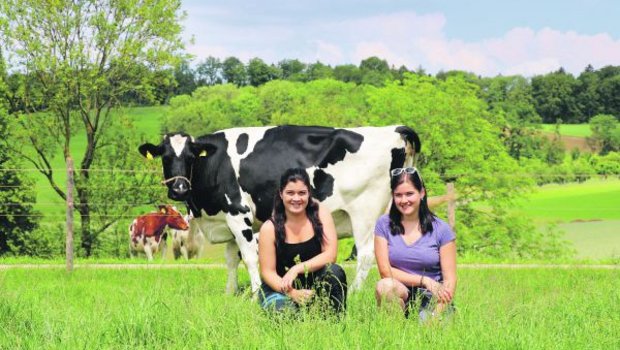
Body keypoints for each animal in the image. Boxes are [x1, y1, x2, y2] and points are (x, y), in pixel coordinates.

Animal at [139, 124, 422, 294]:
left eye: (190, 157)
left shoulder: (238, 213)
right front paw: (230, 294)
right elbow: (231, 260)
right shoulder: (225, 221)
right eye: (165, 157)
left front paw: (254, 294)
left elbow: (250, 257)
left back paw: (353, 292)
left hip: (364, 212)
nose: (178, 189)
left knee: (365, 255)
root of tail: (393, 129)